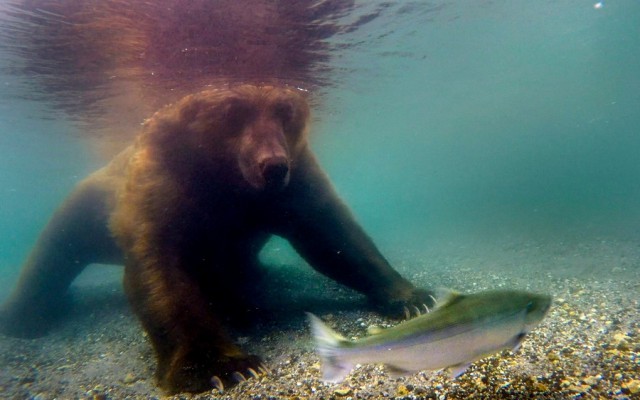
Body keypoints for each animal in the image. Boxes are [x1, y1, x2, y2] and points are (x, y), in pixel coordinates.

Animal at [0, 84, 436, 394]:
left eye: (285, 112)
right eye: (232, 113)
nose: (273, 165)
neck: (225, 182)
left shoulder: (290, 187)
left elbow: (334, 237)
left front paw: (414, 298)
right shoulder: (161, 184)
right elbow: (160, 271)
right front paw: (223, 366)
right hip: (87, 203)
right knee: (53, 252)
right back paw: (25, 315)